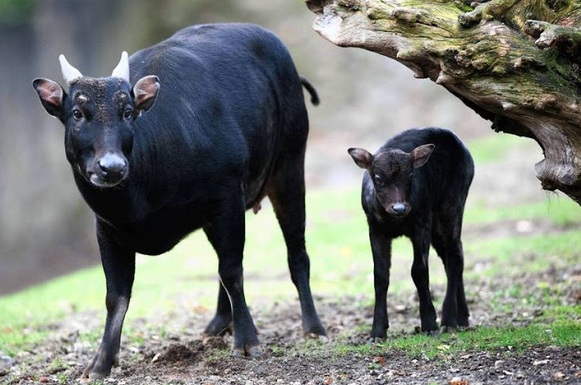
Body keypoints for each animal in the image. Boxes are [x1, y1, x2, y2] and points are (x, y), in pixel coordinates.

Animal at [32, 23, 326, 378]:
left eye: (127, 112)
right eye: (77, 112)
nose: (111, 167)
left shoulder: (227, 198)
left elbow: (232, 271)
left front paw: (247, 340)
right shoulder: (106, 228)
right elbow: (116, 297)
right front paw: (101, 361)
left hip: (289, 166)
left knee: (296, 253)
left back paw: (313, 327)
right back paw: (218, 324)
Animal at [346, 128, 474, 340]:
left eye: (411, 175)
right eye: (378, 179)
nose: (399, 207)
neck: (396, 221)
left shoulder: (421, 223)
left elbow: (419, 270)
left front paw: (429, 324)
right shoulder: (375, 229)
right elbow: (380, 275)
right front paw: (377, 332)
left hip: (452, 203)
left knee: (455, 255)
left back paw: (448, 321)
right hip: (436, 226)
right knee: (453, 257)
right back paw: (462, 317)